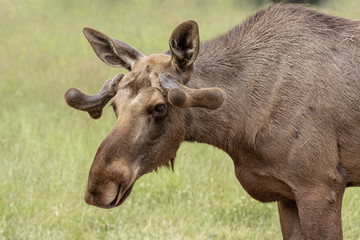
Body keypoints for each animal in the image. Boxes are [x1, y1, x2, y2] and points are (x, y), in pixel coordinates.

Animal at [64, 3, 360, 240]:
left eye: (160, 107)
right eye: (115, 106)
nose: (98, 187)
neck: (239, 129)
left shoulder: (321, 185)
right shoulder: (286, 194)